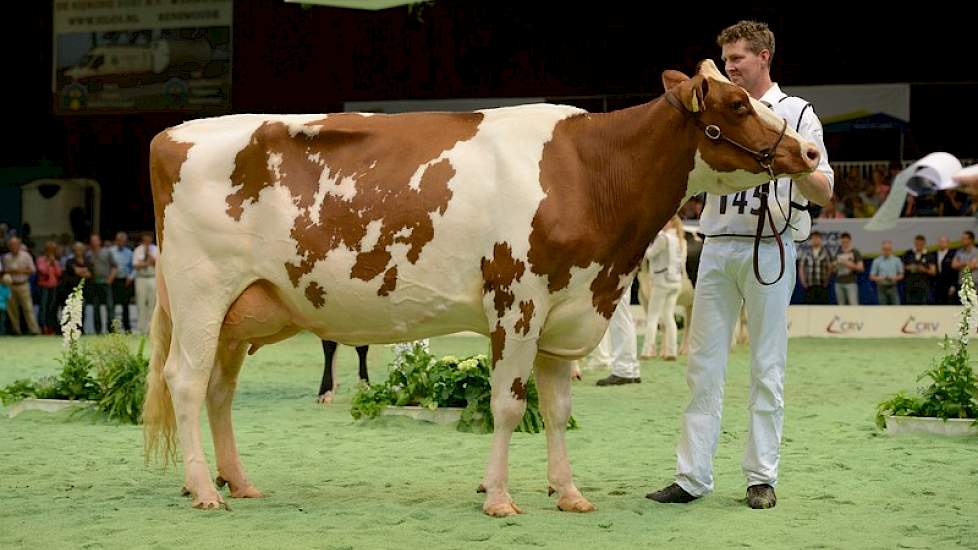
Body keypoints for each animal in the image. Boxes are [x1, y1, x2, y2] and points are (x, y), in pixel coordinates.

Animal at [143, 60, 816, 516]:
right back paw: (204, 490)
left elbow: (558, 409)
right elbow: (509, 405)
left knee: (220, 391)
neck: (587, 171)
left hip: (239, 312)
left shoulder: (565, 311)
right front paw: (498, 497)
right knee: (186, 382)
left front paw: (568, 493)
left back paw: (239, 481)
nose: (810, 152)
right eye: (737, 104)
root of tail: (172, 134)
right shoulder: (517, 303)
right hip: (202, 295)